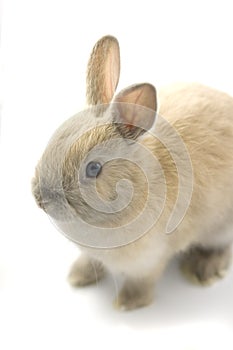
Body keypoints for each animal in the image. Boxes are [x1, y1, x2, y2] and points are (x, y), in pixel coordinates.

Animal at [31, 34, 233, 308]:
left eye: (94, 168)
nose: (40, 198)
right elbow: (91, 262)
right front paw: (77, 277)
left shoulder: (149, 259)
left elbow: (142, 282)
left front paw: (128, 303)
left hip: (221, 227)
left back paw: (203, 269)